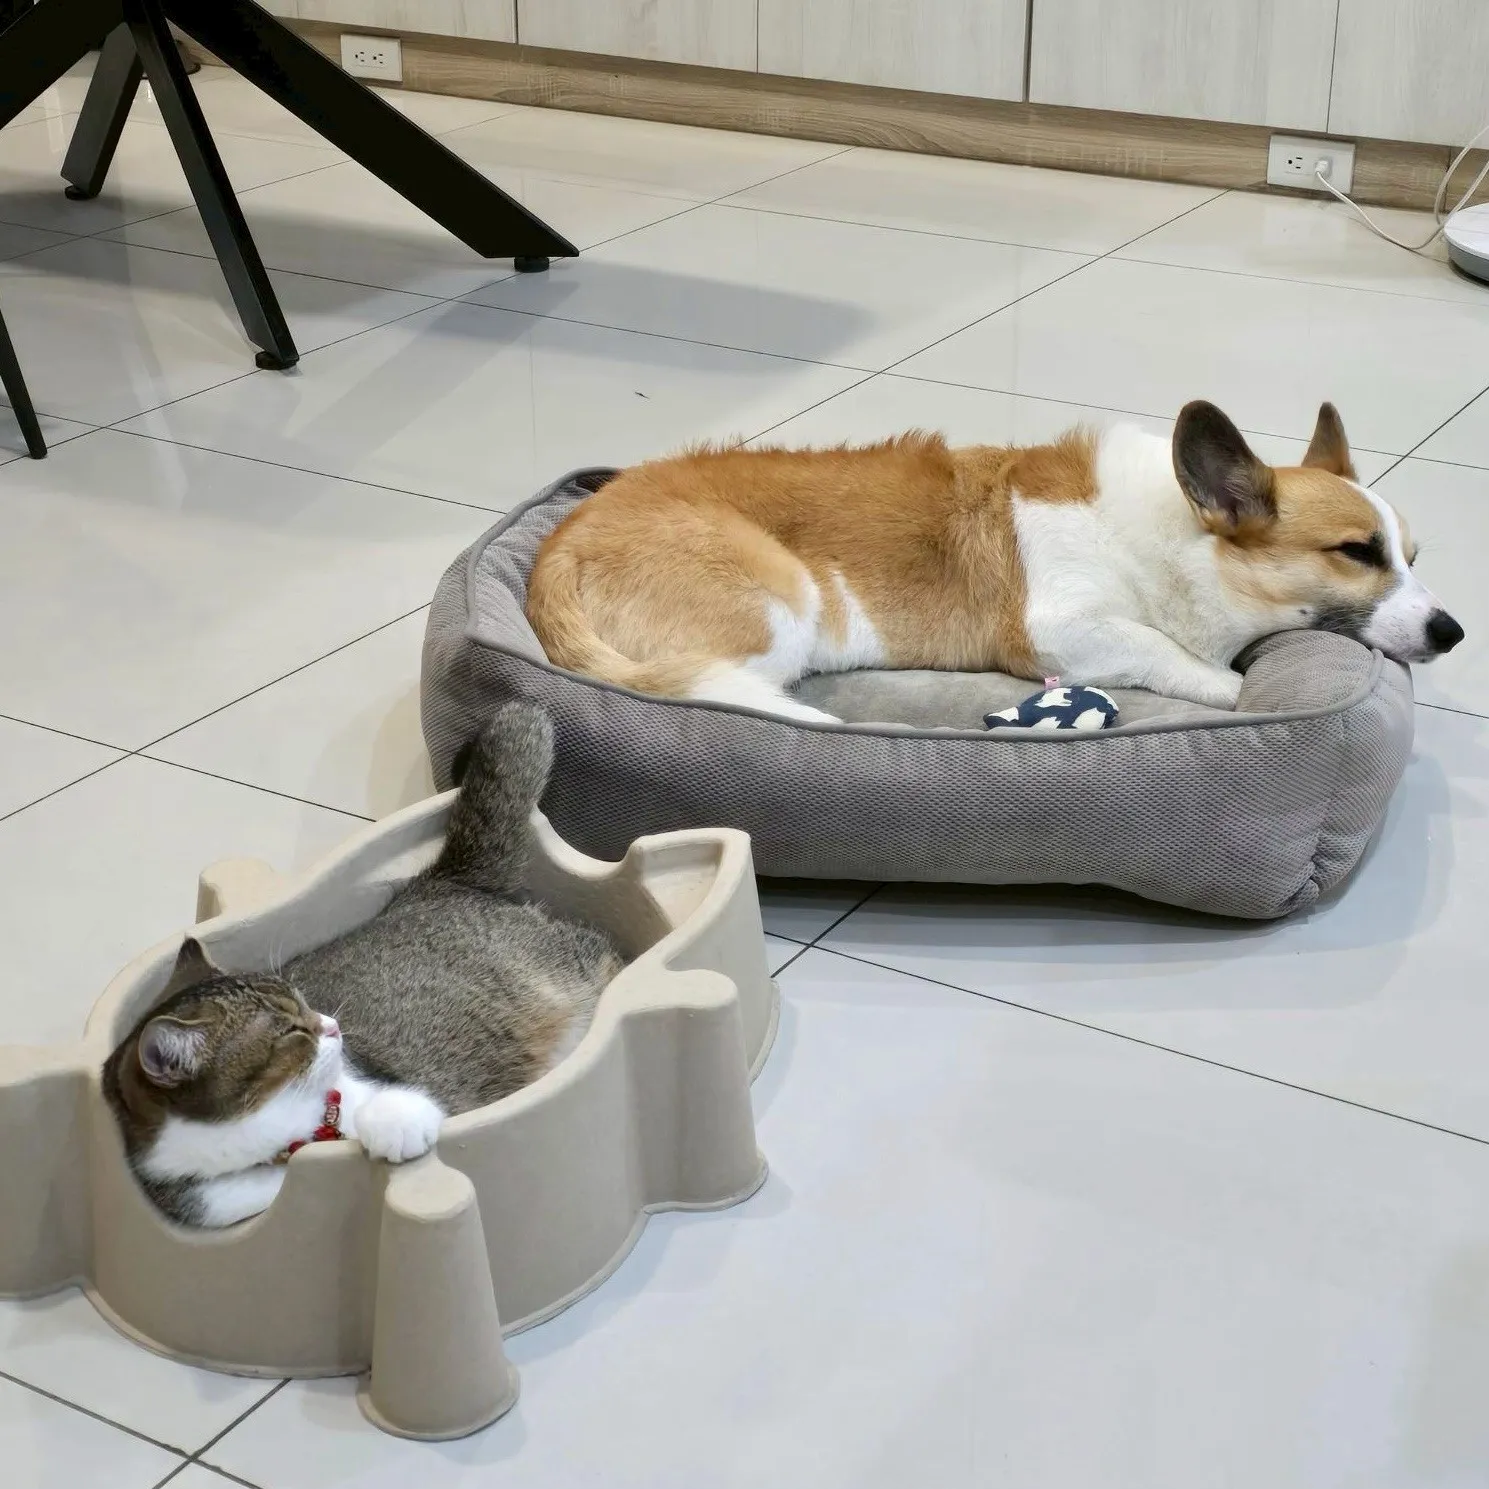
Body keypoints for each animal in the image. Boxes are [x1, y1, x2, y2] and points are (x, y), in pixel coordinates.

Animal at [102, 703, 623, 1229]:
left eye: (305, 1004)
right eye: (292, 1031)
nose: (332, 1025)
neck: (296, 1141)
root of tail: (434, 883)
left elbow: (395, 1105)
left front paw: (395, 1126)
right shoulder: (210, 1205)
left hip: (567, 968)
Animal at [525, 401, 1461, 723]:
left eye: (1412, 556)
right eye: (1356, 552)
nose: (1452, 632)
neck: (1174, 540)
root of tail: (558, 546)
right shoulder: (1060, 627)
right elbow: (1168, 653)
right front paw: (1228, 686)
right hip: (782, 608)